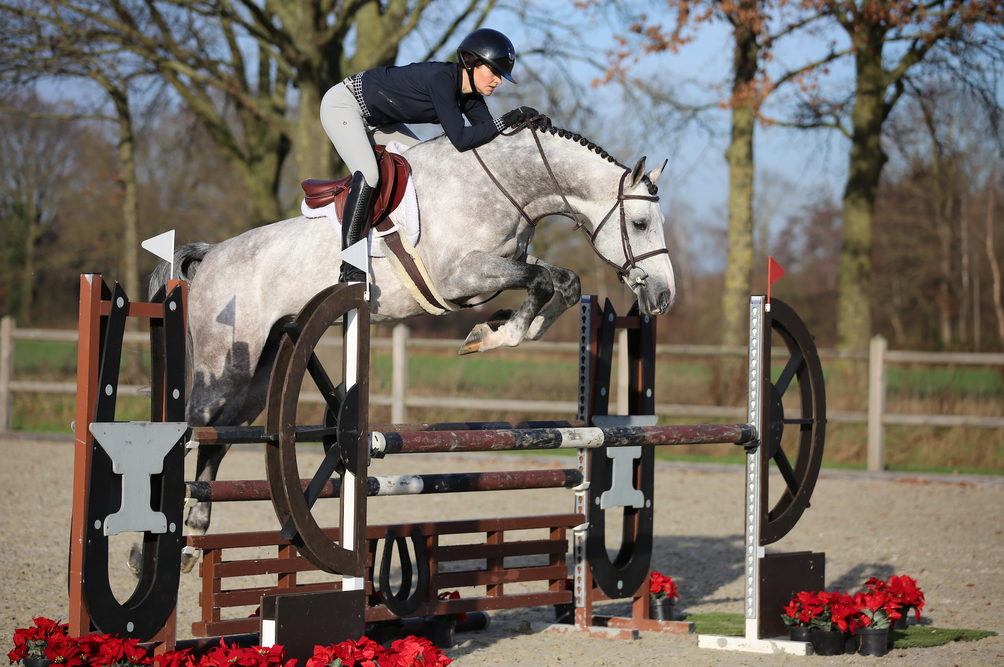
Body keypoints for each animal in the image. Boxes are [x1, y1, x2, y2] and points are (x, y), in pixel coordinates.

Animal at [148, 122, 676, 572]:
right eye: (642, 223)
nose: (663, 297)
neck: (501, 185)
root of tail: (211, 255)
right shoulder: (460, 276)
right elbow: (543, 281)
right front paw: (493, 335)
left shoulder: (497, 268)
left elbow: (562, 282)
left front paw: (504, 329)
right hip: (225, 366)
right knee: (194, 425)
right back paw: (153, 543)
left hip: (260, 375)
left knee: (221, 437)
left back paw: (194, 535)